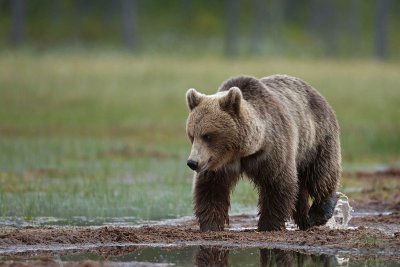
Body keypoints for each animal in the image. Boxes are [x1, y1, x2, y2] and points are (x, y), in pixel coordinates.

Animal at [184, 75, 340, 232]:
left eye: (207, 136)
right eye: (191, 135)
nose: (192, 163)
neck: (242, 152)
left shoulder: (273, 150)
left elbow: (277, 184)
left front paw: (269, 225)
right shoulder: (218, 163)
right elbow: (211, 188)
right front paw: (210, 225)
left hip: (315, 139)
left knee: (320, 174)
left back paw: (319, 213)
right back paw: (305, 219)